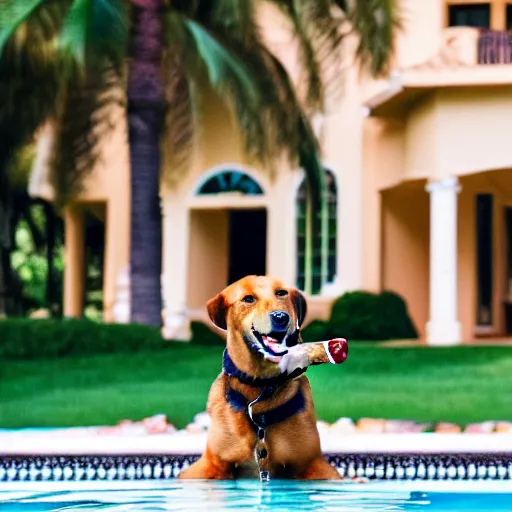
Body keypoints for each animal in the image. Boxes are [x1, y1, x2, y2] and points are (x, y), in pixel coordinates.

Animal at [178, 276, 342, 480]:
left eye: (281, 293)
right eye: (248, 299)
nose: (280, 317)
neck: (260, 385)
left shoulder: (310, 462)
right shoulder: (214, 463)